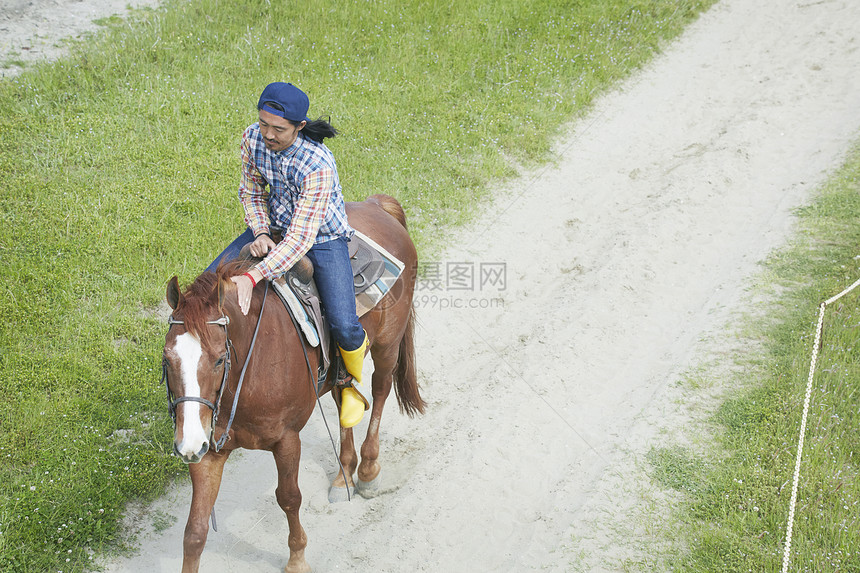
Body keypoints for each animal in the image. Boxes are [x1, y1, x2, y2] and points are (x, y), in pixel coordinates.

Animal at [160, 194, 424, 568]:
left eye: (220, 359)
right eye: (168, 359)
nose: (187, 444)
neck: (245, 376)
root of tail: (377, 205)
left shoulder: (286, 439)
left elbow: (288, 497)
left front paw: (297, 558)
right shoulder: (208, 450)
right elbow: (194, 532)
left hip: (386, 345)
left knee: (380, 390)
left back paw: (368, 471)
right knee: (344, 397)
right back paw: (344, 474)